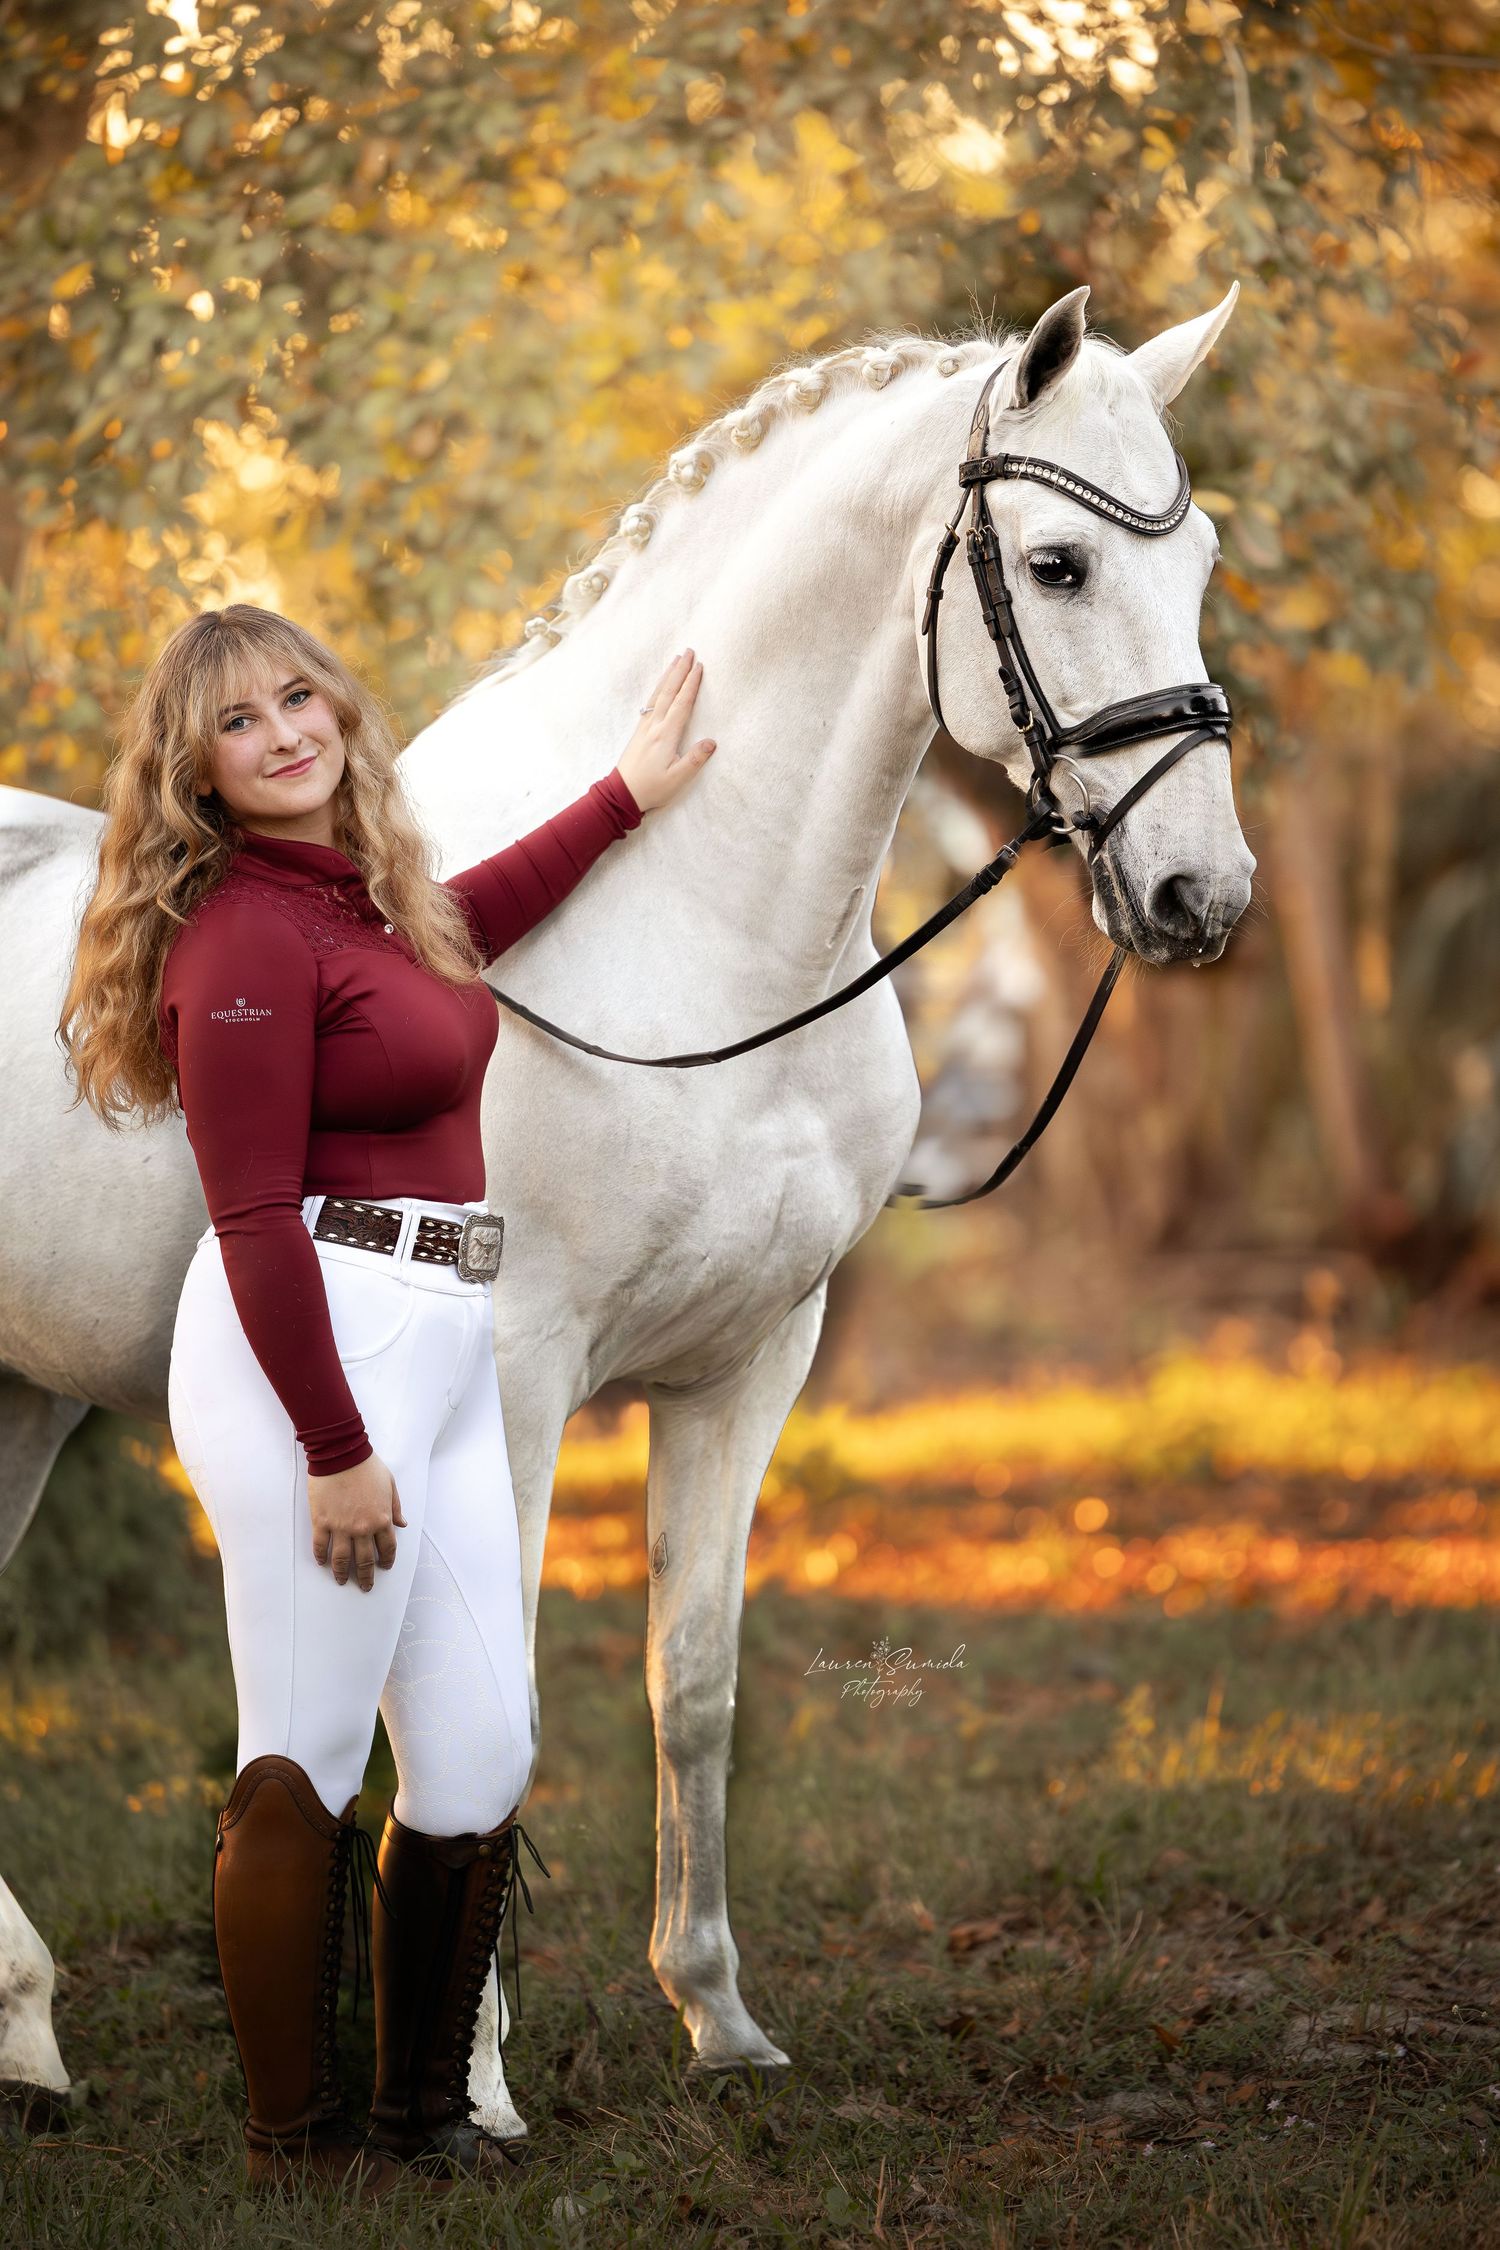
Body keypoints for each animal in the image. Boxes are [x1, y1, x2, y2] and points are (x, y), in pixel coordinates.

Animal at [0, 284, 1253, 2140]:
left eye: (1206, 557)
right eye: (1057, 565)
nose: (1200, 893)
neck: (696, 920)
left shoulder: (754, 1364)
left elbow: (696, 1684)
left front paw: (718, 2017)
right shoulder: (513, 1375)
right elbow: (487, 1698)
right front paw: (477, 2080)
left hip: (20, 1395)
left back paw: (25, 2031)